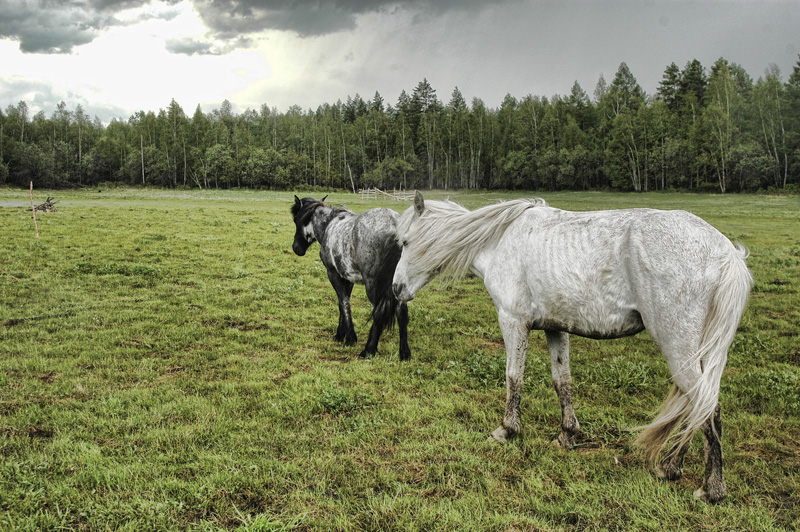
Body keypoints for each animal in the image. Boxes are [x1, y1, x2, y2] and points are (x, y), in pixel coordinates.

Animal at [290, 195, 410, 362]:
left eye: (296, 219)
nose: (296, 248)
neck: (329, 225)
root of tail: (394, 224)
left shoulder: (333, 273)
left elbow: (344, 302)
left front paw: (350, 337)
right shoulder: (348, 278)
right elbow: (342, 303)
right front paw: (341, 334)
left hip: (373, 284)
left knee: (378, 313)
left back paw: (368, 350)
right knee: (402, 312)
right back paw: (404, 353)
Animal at [390, 192, 752, 502]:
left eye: (405, 242)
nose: (395, 288)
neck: (500, 241)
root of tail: (725, 251)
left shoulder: (513, 321)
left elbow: (514, 377)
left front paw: (507, 430)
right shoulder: (555, 328)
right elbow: (561, 381)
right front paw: (567, 435)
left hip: (679, 347)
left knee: (706, 406)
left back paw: (711, 489)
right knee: (693, 406)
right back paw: (671, 467)